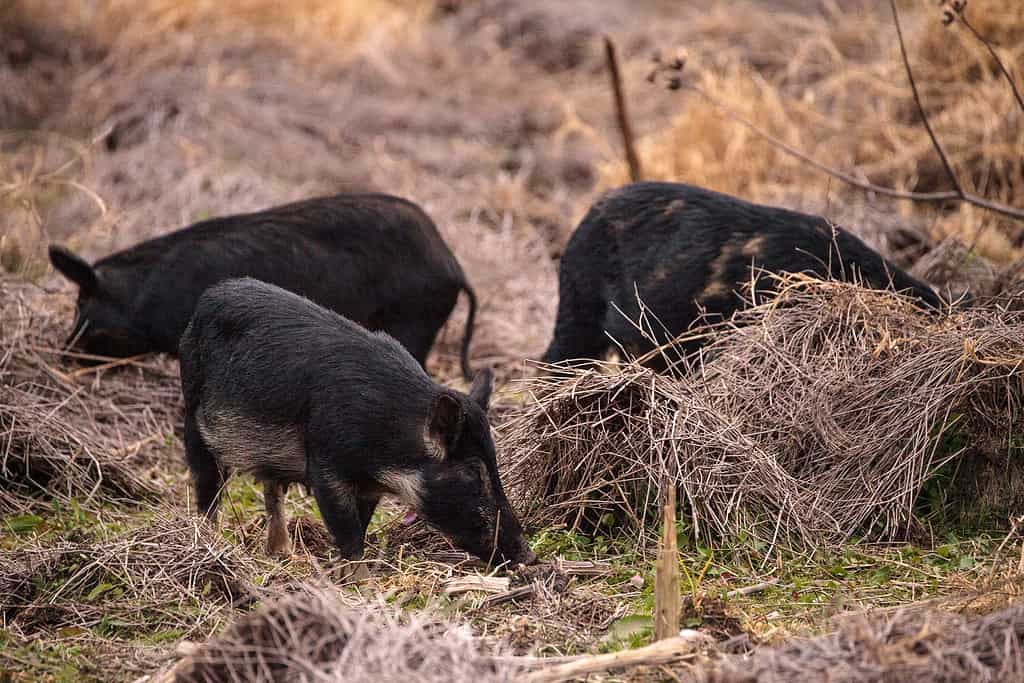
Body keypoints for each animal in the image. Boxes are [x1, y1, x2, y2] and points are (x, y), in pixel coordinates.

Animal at [180, 278, 536, 565]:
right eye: (472, 471)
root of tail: (208, 297)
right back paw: (209, 541)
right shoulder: (326, 467)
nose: (529, 555)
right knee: (208, 489)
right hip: (192, 413)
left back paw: (282, 554)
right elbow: (348, 534)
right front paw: (356, 576)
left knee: (272, 490)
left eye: (493, 463)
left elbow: (361, 527)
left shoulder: (369, 489)